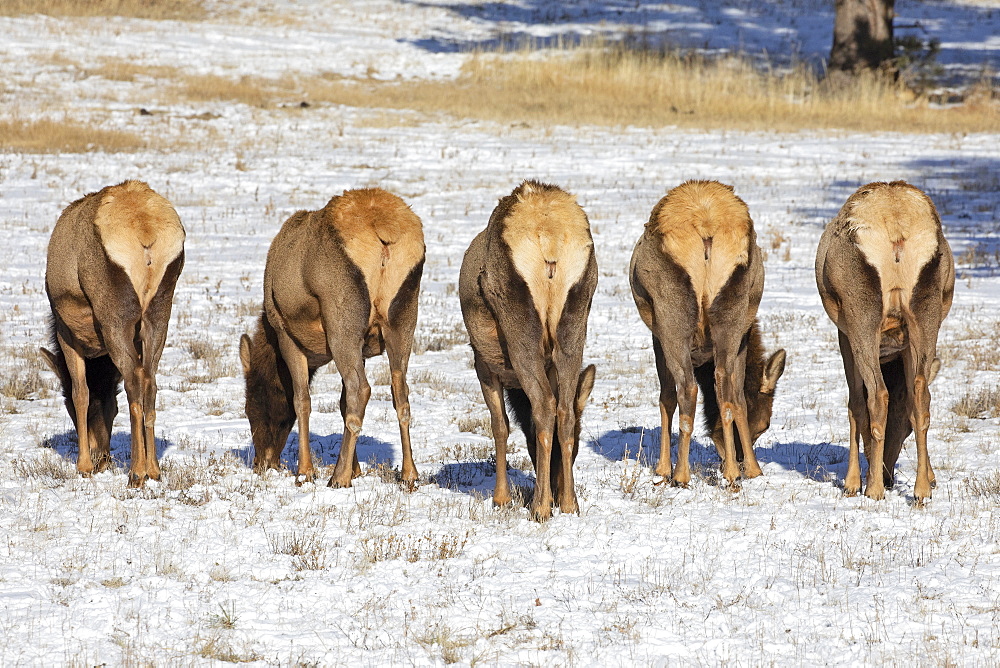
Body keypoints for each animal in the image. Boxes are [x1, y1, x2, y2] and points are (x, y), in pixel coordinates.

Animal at [42, 180, 187, 488]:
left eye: (67, 409)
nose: (101, 458)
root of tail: (146, 233)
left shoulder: (65, 332)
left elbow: (81, 392)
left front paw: (83, 466)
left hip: (114, 313)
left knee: (133, 379)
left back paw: (136, 472)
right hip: (160, 308)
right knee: (150, 380)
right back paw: (154, 469)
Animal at [242, 187, 426, 486]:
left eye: (251, 407)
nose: (262, 462)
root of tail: (384, 232)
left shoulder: (286, 334)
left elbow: (301, 400)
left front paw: (305, 471)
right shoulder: (363, 348)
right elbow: (340, 403)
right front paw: (356, 469)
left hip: (342, 318)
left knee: (360, 389)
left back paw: (338, 478)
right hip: (403, 316)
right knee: (400, 392)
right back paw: (409, 474)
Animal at [458, 179, 596, 520]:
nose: (557, 493)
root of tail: (549, 238)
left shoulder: (484, 363)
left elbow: (500, 426)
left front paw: (501, 498)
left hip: (519, 320)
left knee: (544, 405)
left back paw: (540, 506)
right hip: (577, 316)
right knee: (564, 409)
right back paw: (569, 504)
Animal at [628, 180, 784, 488]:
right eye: (765, 425)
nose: (736, 456)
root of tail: (706, 229)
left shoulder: (657, 336)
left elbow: (666, 397)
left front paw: (662, 469)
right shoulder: (743, 334)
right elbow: (739, 398)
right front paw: (754, 469)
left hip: (671, 314)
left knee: (686, 389)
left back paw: (681, 474)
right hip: (732, 310)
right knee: (725, 386)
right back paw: (733, 474)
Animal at [816, 180, 956, 498]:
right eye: (905, 429)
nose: (888, 475)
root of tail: (896, 228)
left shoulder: (844, 333)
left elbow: (855, 404)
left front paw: (853, 482)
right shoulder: (903, 344)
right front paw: (932, 477)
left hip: (861, 312)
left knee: (878, 395)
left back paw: (874, 489)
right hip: (926, 310)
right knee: (922, 396)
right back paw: (920, 491)